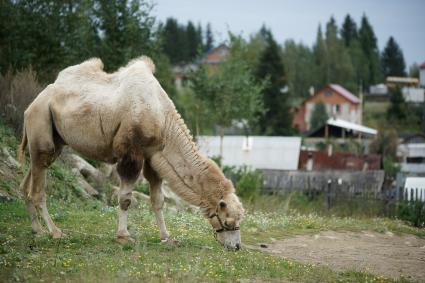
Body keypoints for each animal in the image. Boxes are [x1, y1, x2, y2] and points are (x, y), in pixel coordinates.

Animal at [18, 55, 243, 251]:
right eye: (228, 221)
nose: (236, 246)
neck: (163, 119)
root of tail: (31, 105)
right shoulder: (131, 153)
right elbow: (125, 198)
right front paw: (124, 237)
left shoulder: (153, 157)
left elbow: (158, 200)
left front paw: (167, 238)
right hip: (41, 123)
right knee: (38, 189)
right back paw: (55, 232)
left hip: (53, 140)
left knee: (29, 180)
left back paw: (37, 230)